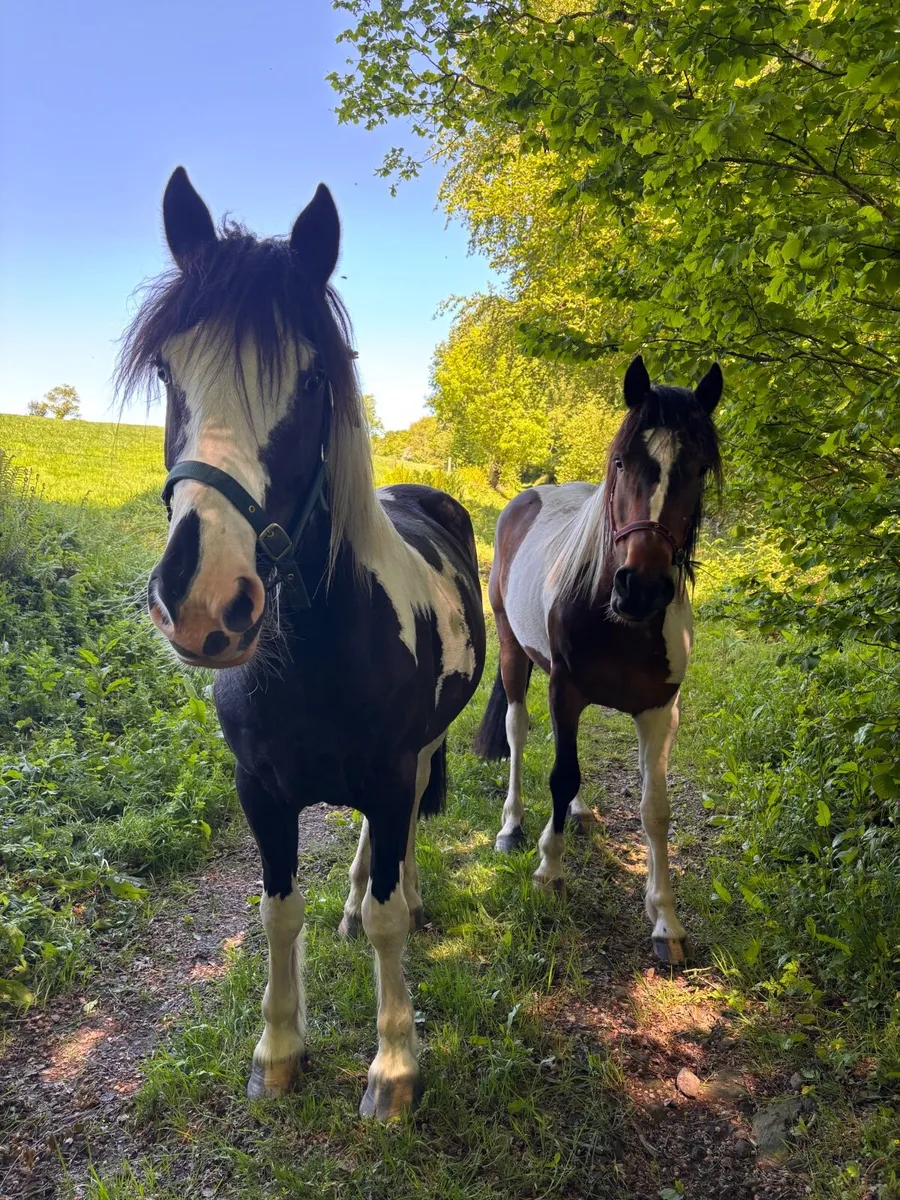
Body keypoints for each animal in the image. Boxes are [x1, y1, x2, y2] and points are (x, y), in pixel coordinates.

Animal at [117, 168, 486, 1119]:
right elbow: (277, 911)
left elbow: (391, 910)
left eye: (312, 377)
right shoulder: (259, 790)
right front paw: (279, 1050)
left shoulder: (390, 774)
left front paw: (394, 1066)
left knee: (403, 835)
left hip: (419, 753)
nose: (202, 599)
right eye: (169, 368)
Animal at [473, 355, 722, 964]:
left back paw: (581, 814)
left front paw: (666, 921)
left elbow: (655, 807)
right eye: (621, 461)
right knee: (518, 730)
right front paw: (549, 871)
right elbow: (561, 774)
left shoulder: (659, 710)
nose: (642, 588)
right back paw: (513, 827)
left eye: (699, 469)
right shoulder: (564, 690)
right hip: (514, 653)